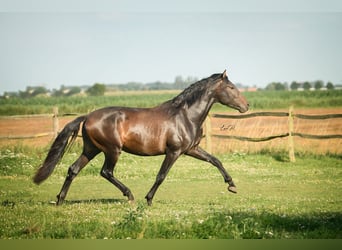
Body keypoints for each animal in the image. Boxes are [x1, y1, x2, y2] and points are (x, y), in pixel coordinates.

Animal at [33, 70, 248, 205]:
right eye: (231, 88)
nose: (246, 106)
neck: (186, 115)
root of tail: (87, 117)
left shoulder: (191, 149)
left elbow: (215, 160)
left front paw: (232, 186)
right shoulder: (174, 151)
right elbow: (161, 175)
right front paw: (149, 199)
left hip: (91, 149)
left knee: (73, 169)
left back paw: (60, 200)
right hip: (112, 150)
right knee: (106, 172)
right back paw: (129, 195)